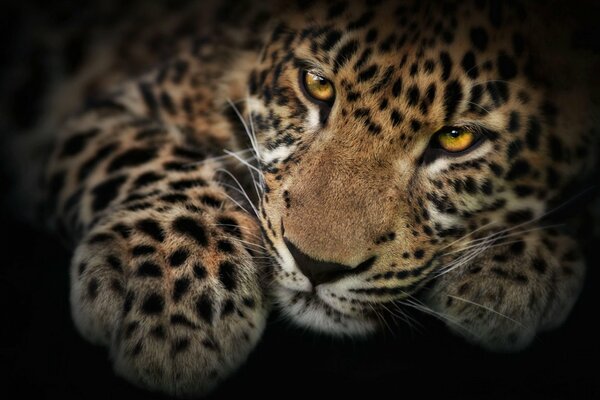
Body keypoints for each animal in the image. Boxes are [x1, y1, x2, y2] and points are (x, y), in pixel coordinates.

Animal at [0, 0, 596, 396]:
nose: (316, 267)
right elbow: (152, 157)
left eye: (456, 138)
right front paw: (175, 306)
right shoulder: (110, 110)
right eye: (316, 85)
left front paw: (516, 270)